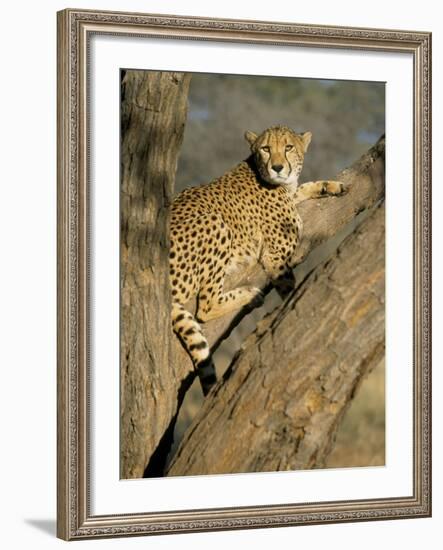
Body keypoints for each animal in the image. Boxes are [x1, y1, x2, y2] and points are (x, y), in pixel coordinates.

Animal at [170, 126, 346, 396]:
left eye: (288, 147)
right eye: (265, 148)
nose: (277, 167)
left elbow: (303, 187)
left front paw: (331, 186)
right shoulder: (275, 256)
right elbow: (289, 287)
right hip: (216, 223)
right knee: (205, 306)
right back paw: (250, 295)